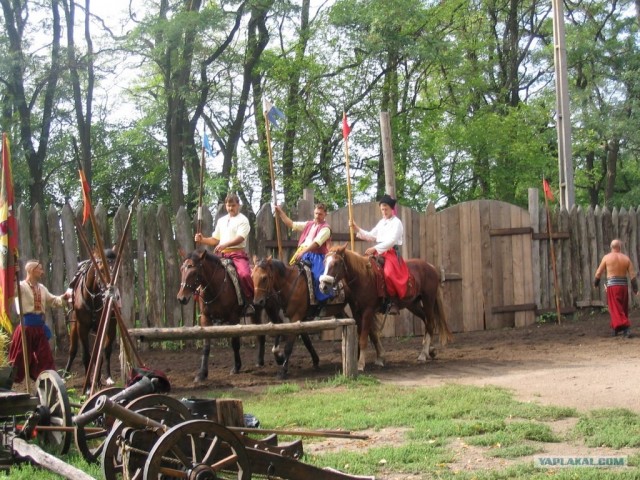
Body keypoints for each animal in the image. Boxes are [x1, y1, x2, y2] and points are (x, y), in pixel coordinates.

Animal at [63, 249, 118, 384]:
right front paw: (88, 385)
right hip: (74, 326)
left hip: (111, 327)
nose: (112, 293)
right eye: (101, 270)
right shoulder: (81, 327)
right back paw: (65, 374)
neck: (92, 297)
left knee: (106, 351)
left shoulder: (103, 326)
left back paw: (107, 377)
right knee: (73, 350)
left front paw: (97, 380)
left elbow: (98, 354)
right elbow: (86, 355)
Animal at [176, 248, 268, 382]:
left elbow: (235, 343)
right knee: (260, 334)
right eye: (182, 269)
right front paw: (202, 374)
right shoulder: (205, 319)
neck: (216, 286)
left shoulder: (234, 318)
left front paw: (236, 367)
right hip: (255, 314)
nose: (181, 298)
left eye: (194, 271)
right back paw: (260, 361)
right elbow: (206, 346)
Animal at [318, 244, 450, 372]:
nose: (323, 286)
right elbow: (371, 334)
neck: (363, 277)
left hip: (428, 301)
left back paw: (423, 354)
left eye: (336, 263)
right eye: (324, 262)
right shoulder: (357, 312)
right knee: (426, 320)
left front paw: (360, 364)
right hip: (413, 304)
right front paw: (380, 357)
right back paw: (430, 350)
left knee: (430, 323)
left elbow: (364, 337)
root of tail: (431, 267)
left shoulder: (368, 311)